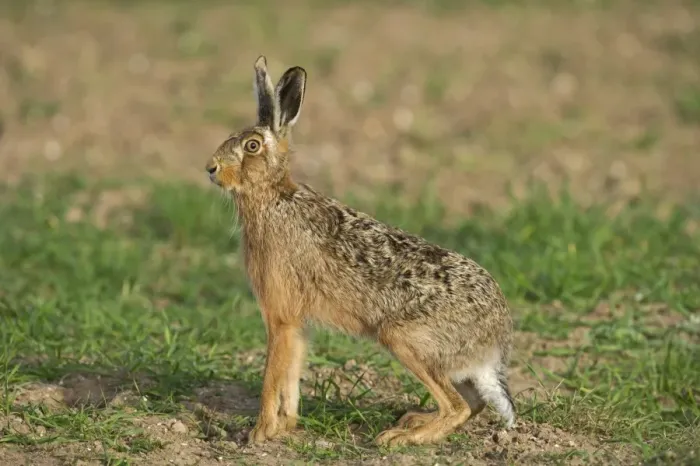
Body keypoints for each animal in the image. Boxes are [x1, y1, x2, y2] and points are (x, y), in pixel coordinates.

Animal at [204, 55, 516, 447]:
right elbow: (292, 374)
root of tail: (494, 344)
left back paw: (400, 437)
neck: (273, 198)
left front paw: (259, 433)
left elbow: (272, 376)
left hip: (404, 339)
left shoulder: (281, 317)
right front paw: (286, 426)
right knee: (473, 404)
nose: (211, 169)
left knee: (456, 406)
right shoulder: (297, 323)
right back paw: (413, 420)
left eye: (252, 146)